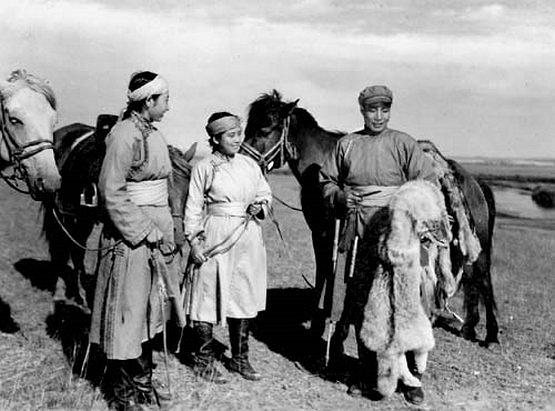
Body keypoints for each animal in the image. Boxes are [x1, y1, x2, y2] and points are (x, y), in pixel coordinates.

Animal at [42, 115, 196, 311]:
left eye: (188, 187)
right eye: (165, 188)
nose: (178, 236)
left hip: (83, 218)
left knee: (77, 248)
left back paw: (80, 295)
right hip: (63, 215)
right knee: (63, 248)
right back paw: (61, 294)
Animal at [241, 90, 499, 346]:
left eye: (264, 129)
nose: (244, 161)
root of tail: (473, 181)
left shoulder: (338, 234)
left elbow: (341, 277)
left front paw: (336, 329)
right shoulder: (321, 234)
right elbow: (324, 273)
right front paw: (319, 324)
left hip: (479, 244)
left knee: (483, 279)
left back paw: (490, 334)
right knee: (471, 279)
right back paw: (467, 327)